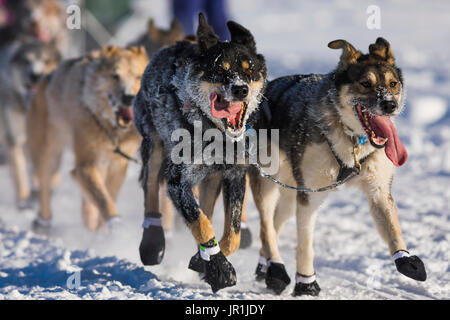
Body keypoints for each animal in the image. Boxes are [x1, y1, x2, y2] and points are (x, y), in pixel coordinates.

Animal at [134, 13, 268, 292]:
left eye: (249, 69)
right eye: (220, 69)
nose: (241, 89)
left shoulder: (235, 175)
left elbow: (233, 233)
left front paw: (204, 260)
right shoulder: (177, 182)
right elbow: (201, 223)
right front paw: (220, 269)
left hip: (211, 178)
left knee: (206, 205)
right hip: (153, 146)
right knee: (151, 187)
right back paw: (152, 241)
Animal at [248, 38, 428, 298]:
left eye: (392, 83)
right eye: (365, 83)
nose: (390, 104)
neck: (352, 139)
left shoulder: (378, 190)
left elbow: (393, 228)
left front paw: (405, 259)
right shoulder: (310, 198)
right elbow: (305, 244)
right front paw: (306, 283)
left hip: (291, 194)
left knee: (274, 223)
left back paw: (265, 266)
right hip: (267, 184)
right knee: (265, 227)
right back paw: (276, 268)